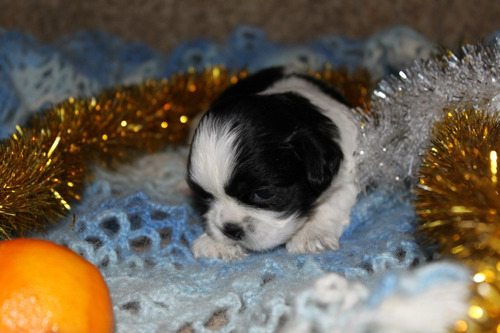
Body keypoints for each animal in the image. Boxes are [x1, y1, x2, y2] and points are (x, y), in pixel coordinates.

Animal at [186, 67, 358, 260]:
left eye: (264, 193)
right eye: (205, 197)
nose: (230, 229)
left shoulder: (349, 171)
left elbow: (333, 201)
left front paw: (311, 234)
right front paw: (215, 242)